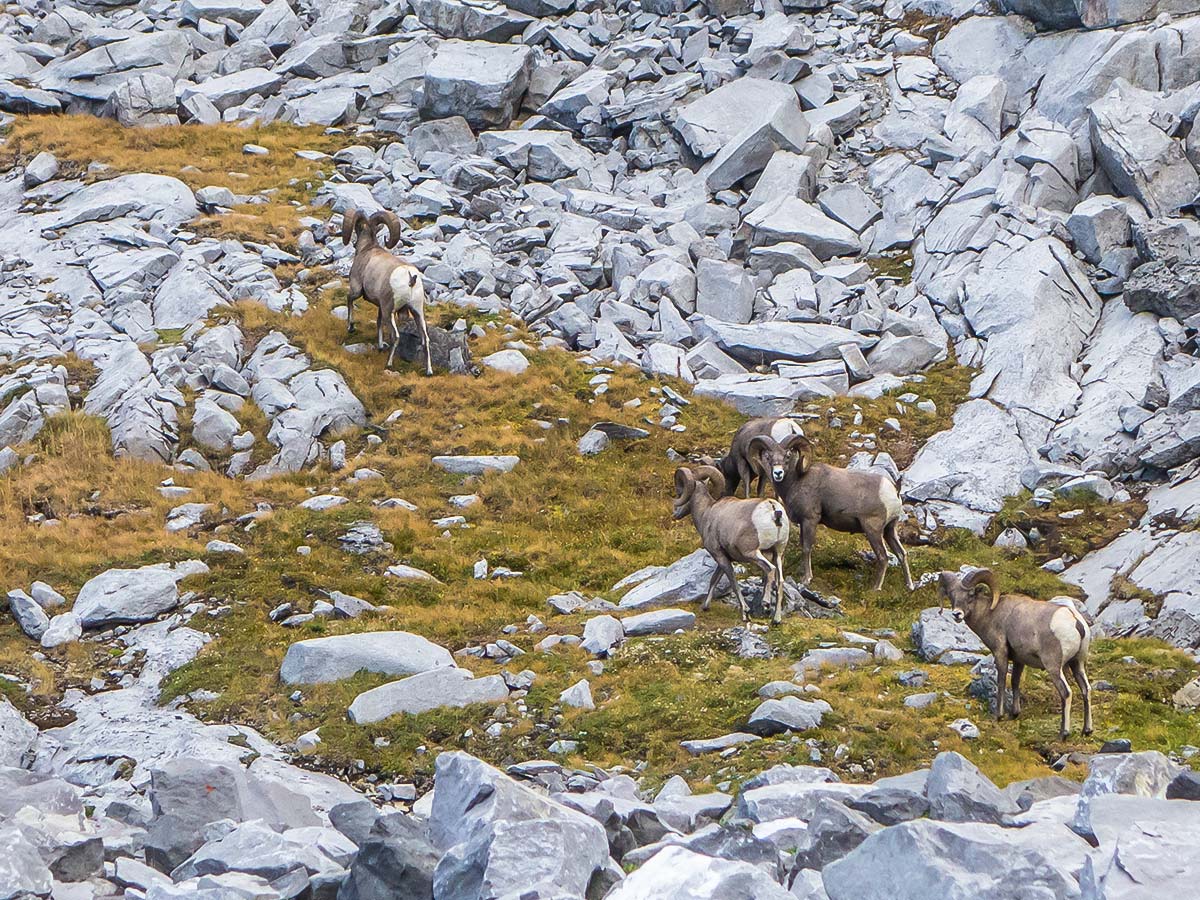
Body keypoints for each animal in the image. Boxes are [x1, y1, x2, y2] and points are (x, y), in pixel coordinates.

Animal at [340, 207, 434, 376]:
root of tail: (410, 277)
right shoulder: (379, 306)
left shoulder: (356, 290)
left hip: (389, 311)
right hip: (417, 312)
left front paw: (350, 327)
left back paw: (389, 364)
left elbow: (349, 300)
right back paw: (429, 371)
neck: (367, 250)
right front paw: (379, 346)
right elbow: (378, 323)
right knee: (425, 339)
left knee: (395, 336)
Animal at [672, 468, 792, 624]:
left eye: (680, 493)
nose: (675, 513)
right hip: (778, 553)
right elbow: (714, 580)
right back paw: (776, 619)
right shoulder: (725, 557)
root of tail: (773, 509)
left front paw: (745, 613)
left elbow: (733, 583)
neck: (707, 513)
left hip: (753, 553)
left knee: (769, 569)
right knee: (780, 581)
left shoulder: (719, 555)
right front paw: (705, 606)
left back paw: (765, 604)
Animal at [753, 434, 912, 592]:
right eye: (769, 457)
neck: (797, 481)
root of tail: (893, 490)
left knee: (883, 557)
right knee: (901, 553)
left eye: (787, 456)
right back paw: (909, 586)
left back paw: (875, 589)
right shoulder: (803, 523)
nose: (778, 473)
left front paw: (806, 579)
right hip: (889, 530)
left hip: (873, 530)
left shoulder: (810, 520)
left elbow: (806, 548)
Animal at [936, 571, 1099, 739]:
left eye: (970, 595)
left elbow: (1001, 681)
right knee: (1086, 689)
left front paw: (999, 716)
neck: (990, 614)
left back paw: (1063, 733)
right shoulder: (1019, 660)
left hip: (1054, 667)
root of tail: (1076, 622)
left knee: (1066, 693)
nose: (957, 614)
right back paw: (1087, 730)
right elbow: (1015, 682)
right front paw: (1014, 714)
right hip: (1077, 664)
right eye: (951, 595)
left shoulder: (1000, 652)